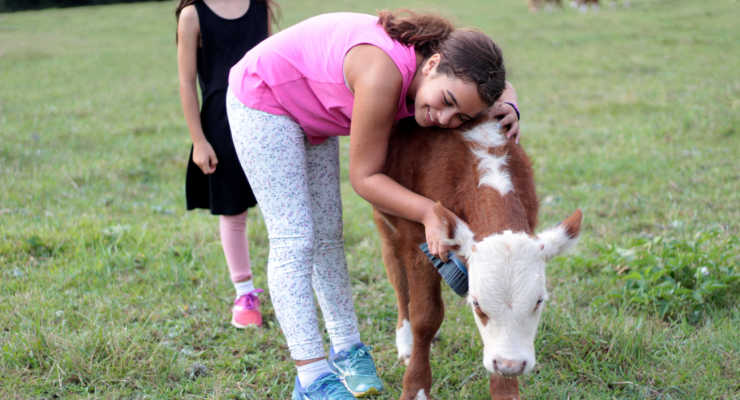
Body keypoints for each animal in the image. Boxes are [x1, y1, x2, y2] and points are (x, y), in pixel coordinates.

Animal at [373, 118, 583, 400]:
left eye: (539, 301)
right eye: (476, 305)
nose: (509, 364)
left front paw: (506, 392)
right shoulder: (418, 239)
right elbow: (425, 315)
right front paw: (416, 388)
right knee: (397, 274)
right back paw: (405, 343)